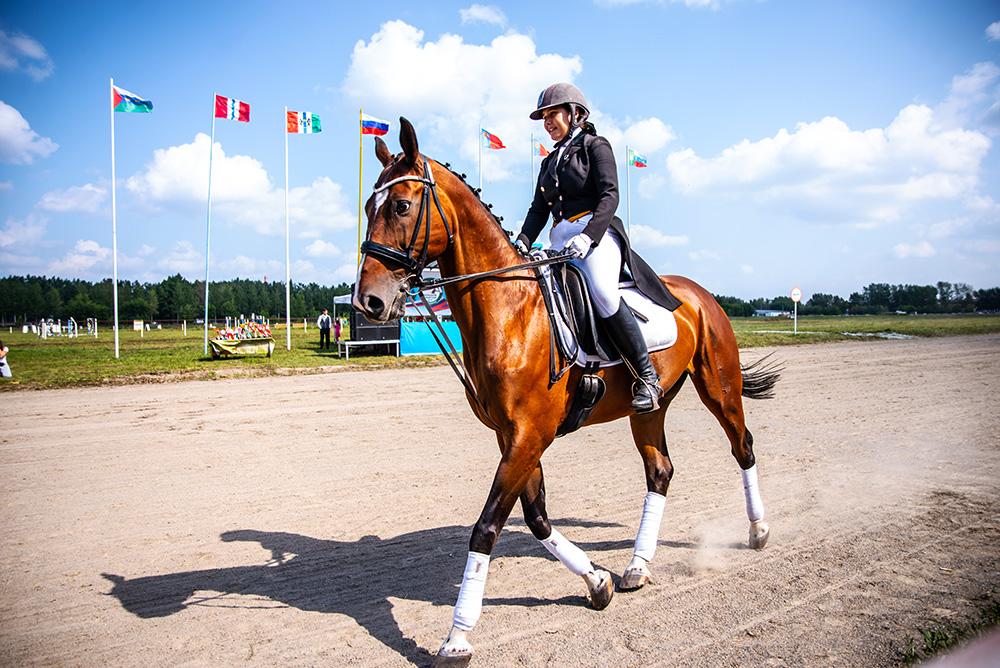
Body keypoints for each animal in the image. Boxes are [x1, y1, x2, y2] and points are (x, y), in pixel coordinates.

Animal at [352, 117, 780, 664]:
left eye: (402, 206)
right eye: (370, 208)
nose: (369, 301)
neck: (511, 311)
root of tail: (699, 293)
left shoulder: (529, 434)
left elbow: (486, 527)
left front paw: (457, 637)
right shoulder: (513, 436)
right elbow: (535, 517)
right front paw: (597, 582)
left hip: (720, 387)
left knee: (742, 446)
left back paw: (758, 530)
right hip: (649, 408)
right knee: (660, 471)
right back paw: (636, 567)